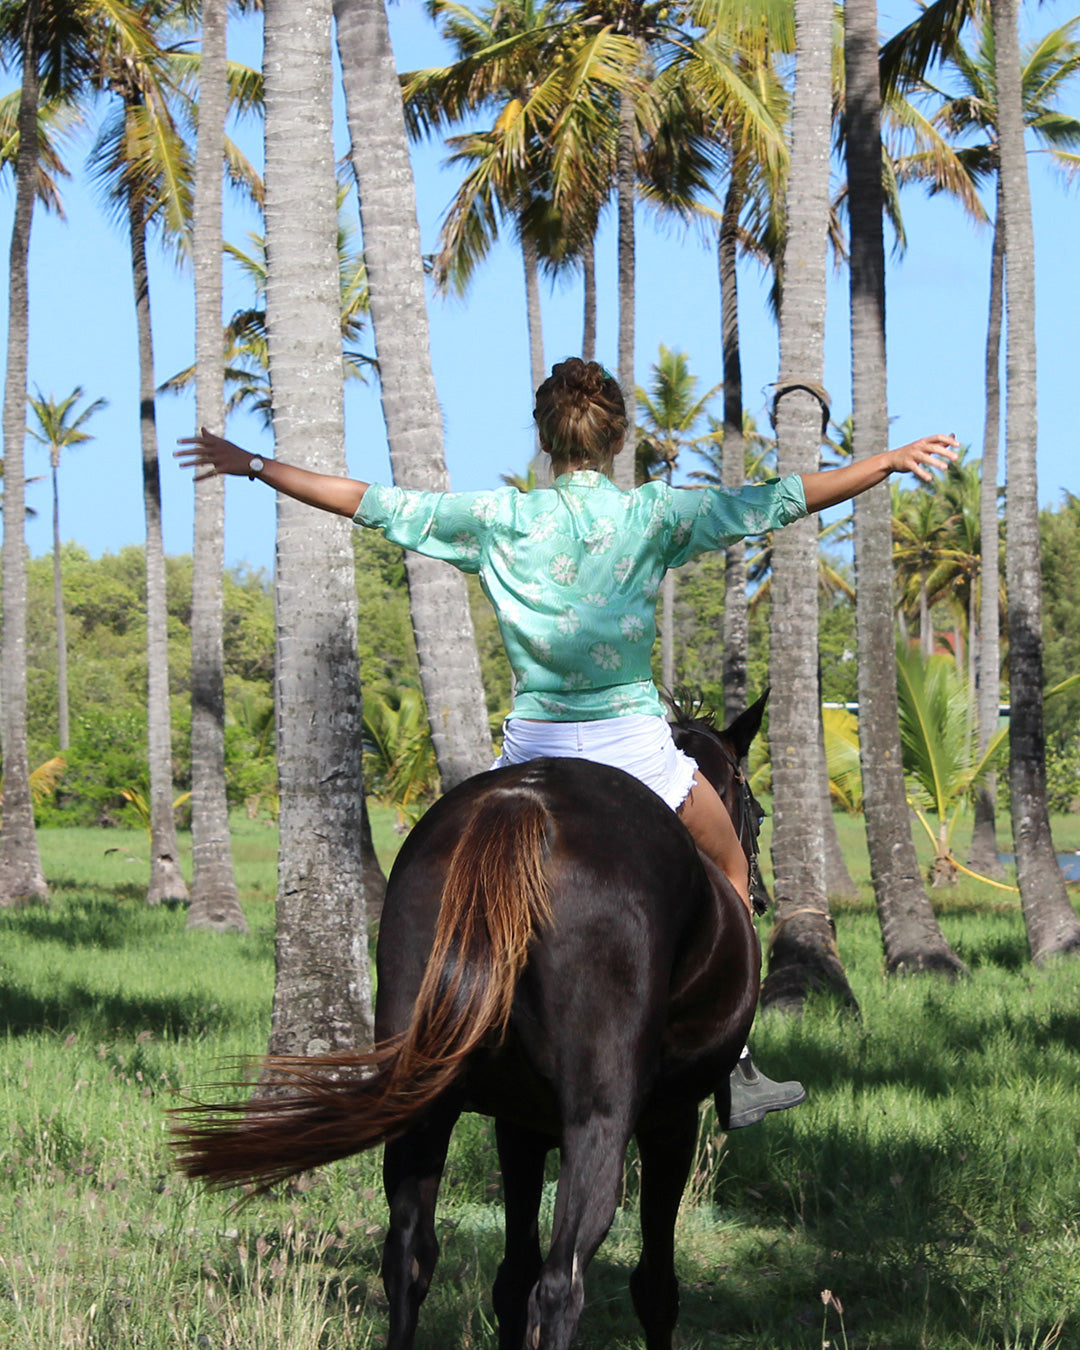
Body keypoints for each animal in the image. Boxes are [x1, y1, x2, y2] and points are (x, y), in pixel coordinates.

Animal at [170, 696, 766, 1350]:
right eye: (757, 812)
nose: (760, 897)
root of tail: (522, 802)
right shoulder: (672, 1119)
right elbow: (654, 1288)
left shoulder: (519, 1124)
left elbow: (510, 1277)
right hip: (599, 1121)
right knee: (561, 1285)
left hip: (423, 1095)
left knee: (409, 1258)